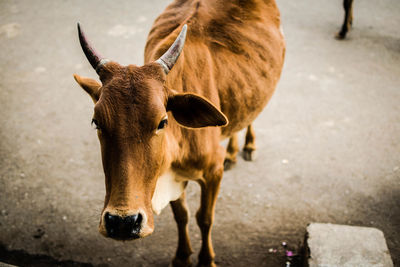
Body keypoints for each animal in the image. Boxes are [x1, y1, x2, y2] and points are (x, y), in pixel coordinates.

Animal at [72, 1, 284, 266]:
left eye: (162, 122)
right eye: (96, 122)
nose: (122, 222)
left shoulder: (213, 172)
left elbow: (205, 218)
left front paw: (206, 259)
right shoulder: (171, 176)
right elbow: (182, 216)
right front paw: (182, 257)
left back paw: (248, 145)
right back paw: (232, 153)